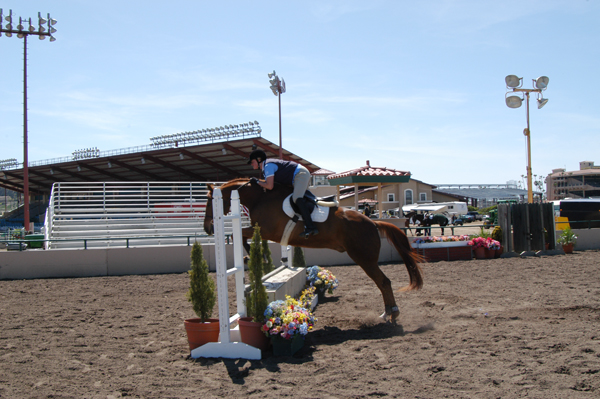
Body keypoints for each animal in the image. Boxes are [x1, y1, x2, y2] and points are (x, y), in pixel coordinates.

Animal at [204, 180, 424, 324]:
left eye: (209, 201)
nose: (208, 228)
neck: (260, 198)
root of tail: (373, 222)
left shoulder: (266, 230)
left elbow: (241, 235)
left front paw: (253, 256)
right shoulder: (265, 231)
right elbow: (242, 236)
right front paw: (253, 257)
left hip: (364, 259)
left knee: (384, 282)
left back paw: (391, 312)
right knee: (383, 283)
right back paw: (387, 313)